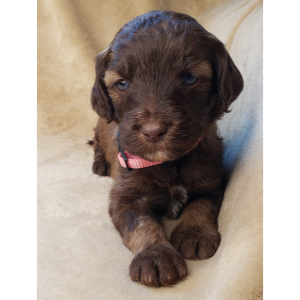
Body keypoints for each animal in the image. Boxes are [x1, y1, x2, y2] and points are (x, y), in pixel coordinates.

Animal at [89, 10, 244, 288]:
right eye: (122, 84)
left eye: (190, 78)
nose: (153, 131)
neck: (170, 162)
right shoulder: (124, 198)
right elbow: (141, 224)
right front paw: (155, 255)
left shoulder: (212, 184)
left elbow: (201, 205)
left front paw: (194, 233)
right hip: (99, 126)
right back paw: (99, 164)